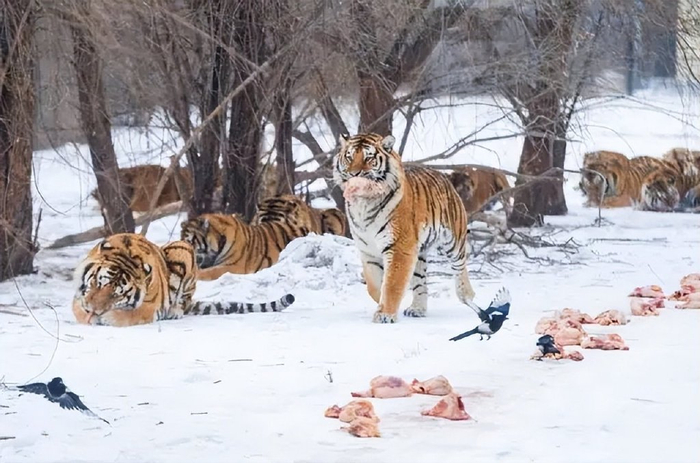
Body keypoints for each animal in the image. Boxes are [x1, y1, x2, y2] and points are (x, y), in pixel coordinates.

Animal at [72, 233, 295, 327]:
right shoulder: (79, 296)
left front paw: (108, 317)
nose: (94, 310)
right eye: (98, 283)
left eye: (116, 295)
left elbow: (130, 314)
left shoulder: (149, 306)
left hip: (182, 249)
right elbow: (79, 309)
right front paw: (89, 316)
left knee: (183, 300)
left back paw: (175, 312)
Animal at [333, 132, 475, 324]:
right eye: (349, 156)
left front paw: (385, 315)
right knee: (420, 282)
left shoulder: (399, 247)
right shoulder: (368, 251)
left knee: (460, 266)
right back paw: (417, 309)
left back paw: (466, 295)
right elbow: (375, 285)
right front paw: (382, 304)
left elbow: (392, 284)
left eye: (368, 157)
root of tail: (443, 176)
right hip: (418, 252)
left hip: (453, 240)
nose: (354, 174)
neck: (364, 204)